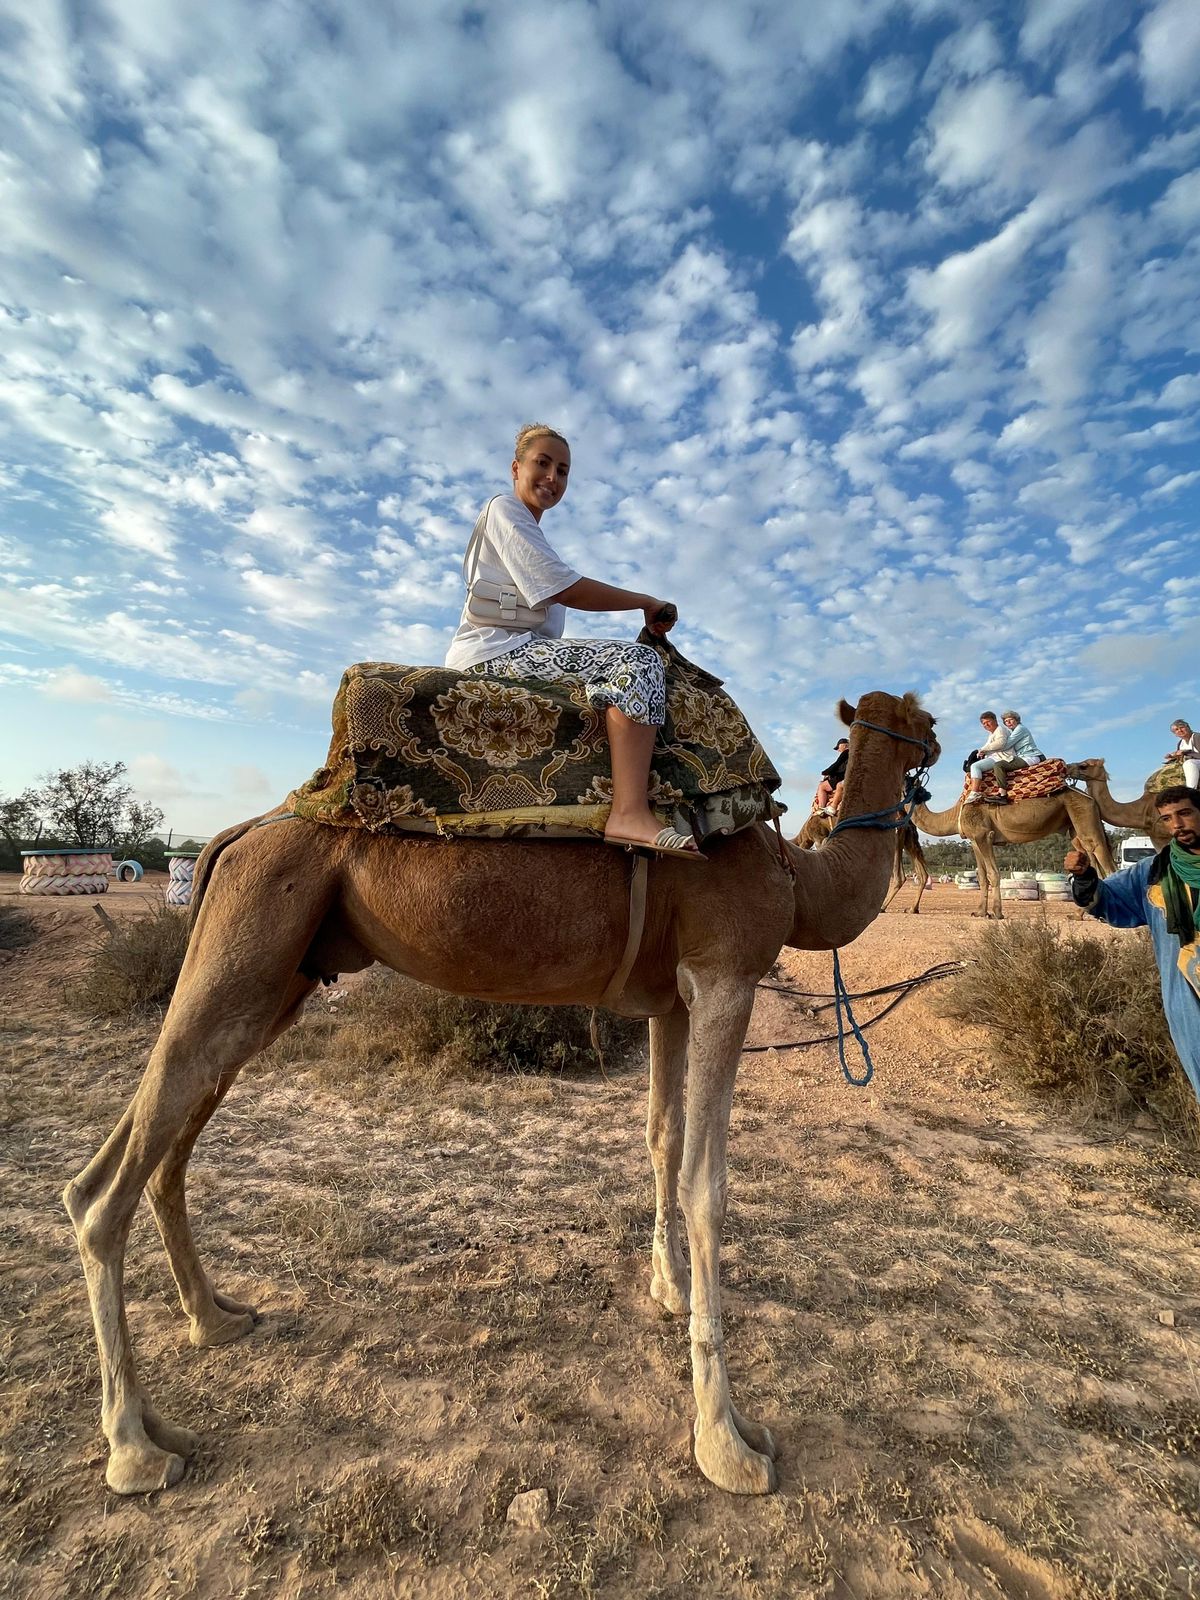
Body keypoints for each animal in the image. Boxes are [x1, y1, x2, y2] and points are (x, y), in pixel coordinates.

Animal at [63, 690, 937, 1499]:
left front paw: (669, 1290)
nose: (946, 756)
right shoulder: (727, 975)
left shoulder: (673, 999)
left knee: (163, 1146)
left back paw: (214, 1321)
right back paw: (135, 1449)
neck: (797, 880)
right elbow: (705, 1185)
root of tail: (235, 836)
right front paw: (729, 1446)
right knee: (104, 1188)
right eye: (925, 722)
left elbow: (662, 1138)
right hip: (248, 945)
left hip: (278, 974)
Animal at [913, 788, 1114, 919]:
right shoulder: (974, 840)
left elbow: (993, 873)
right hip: (1073, 829)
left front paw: (997, 913)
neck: (956, 813)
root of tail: (1092, 799)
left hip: (1084, 818)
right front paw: (980, 912)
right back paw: (1079, 914)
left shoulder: (984, 835)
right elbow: (982, 877)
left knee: (1104, 861)